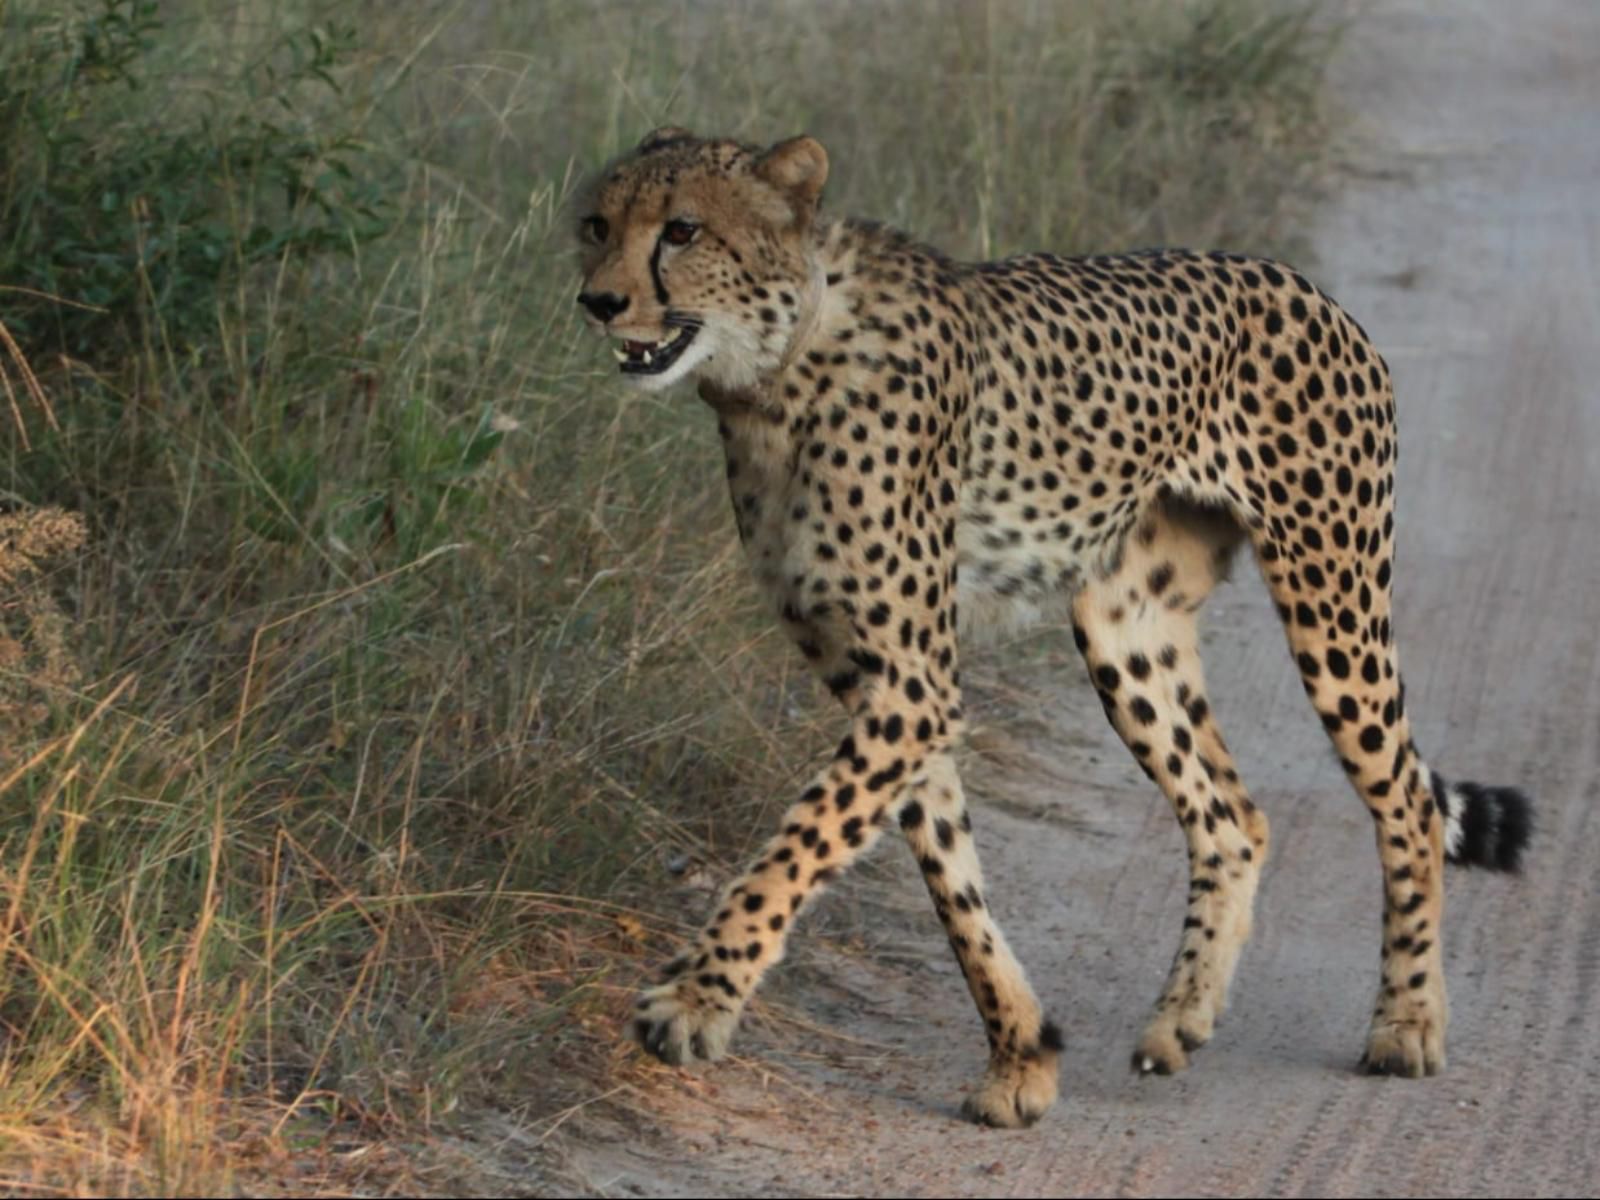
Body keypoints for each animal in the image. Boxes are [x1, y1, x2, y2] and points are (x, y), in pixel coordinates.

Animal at [579, 129, 1536, 1126]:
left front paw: (695, 1002)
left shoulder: (912, 686)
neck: (774, 374)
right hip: (1127, 631)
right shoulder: (879, 680)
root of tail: (1298, 281)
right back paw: (1181, 1018)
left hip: (1332, 593)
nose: (598, 300)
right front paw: (1023, 1056)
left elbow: (802, 840)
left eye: (683, 229)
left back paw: (1407, 1023)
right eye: (597, 225)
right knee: (1232, 814)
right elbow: (947, 870)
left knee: (1408, 801)